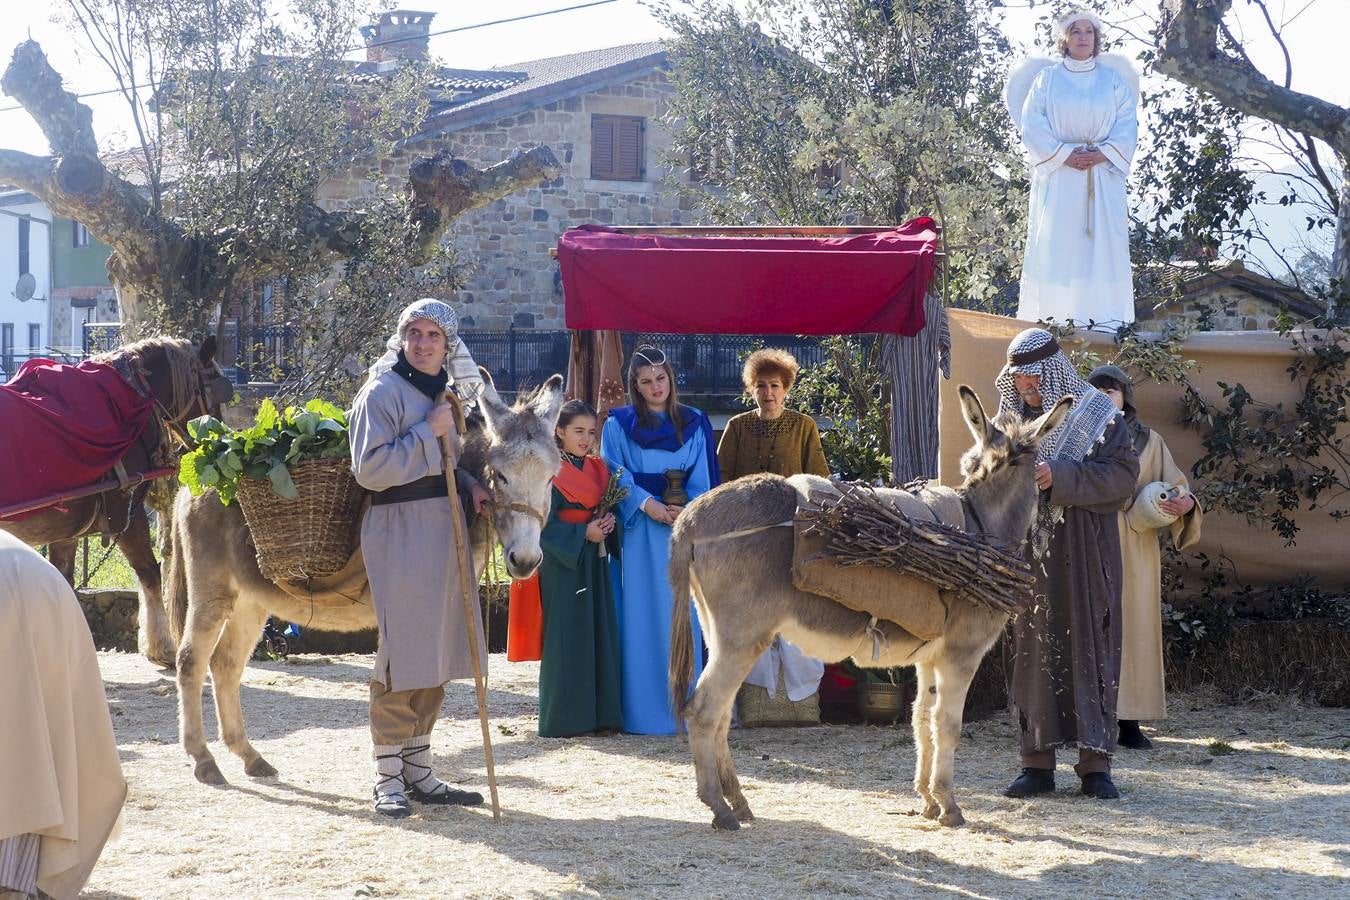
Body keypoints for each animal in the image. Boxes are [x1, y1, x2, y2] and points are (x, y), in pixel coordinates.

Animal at [3, 337, 232, 669]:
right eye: (215, 384)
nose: (219, 438)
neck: (128, 399)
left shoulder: (67, 531)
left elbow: (63, 579)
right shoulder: (127, 513)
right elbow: (149, 573)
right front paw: (162, 645)